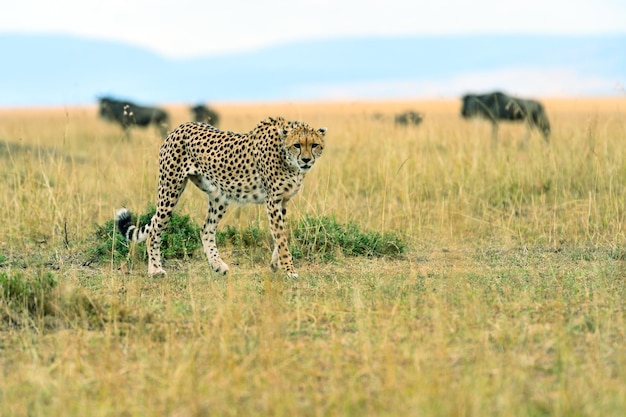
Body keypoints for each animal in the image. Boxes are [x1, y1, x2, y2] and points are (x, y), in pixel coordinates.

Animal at [114, 115, 326, 278]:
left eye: (314, 145)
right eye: (297, 145)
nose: (306, 160)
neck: (287, 158)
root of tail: (180, 127)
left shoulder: (283, 201)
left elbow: (280, 235)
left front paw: (276, 264)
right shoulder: (273, 201)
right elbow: (281, 237)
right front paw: (289, 270)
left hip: (219, 195)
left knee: (206, 229)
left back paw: (217, 265)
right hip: (170, 189)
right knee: (154, 230)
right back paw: (155, 270)